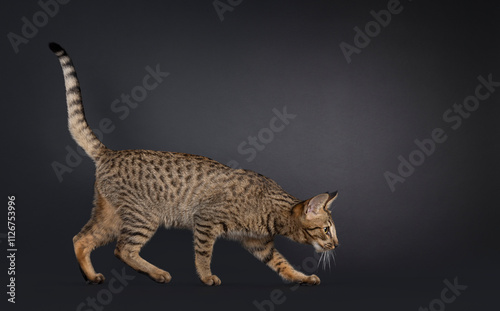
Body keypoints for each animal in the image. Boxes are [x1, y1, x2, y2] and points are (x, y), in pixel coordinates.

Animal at [48, 42, 340, 288]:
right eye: (326, 229)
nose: (336, 244)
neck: (272, 212)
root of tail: (109, 153)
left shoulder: (259, 244)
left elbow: (282, 264)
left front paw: (302, 277)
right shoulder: (205, 220)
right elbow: (203, 253)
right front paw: (206, 276)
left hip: (111, 214)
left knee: (81, 239)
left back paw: (91, 276)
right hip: (144, 215)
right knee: (123, 249)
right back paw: (157, 273)